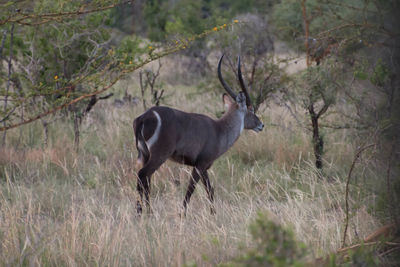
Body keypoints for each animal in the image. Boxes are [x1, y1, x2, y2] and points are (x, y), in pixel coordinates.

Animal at [133, 54, 264, 216]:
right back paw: (142, 213)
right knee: (142, 175)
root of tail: (144, 117)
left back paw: (148, 212)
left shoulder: (203, 167)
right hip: (159, 156)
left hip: (146, 155)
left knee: (146, 180)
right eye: (251, 109)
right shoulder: (200, 165)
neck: (219, 130)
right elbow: (196, 190)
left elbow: (206, 190)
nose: (261, 125)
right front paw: (188, 214)